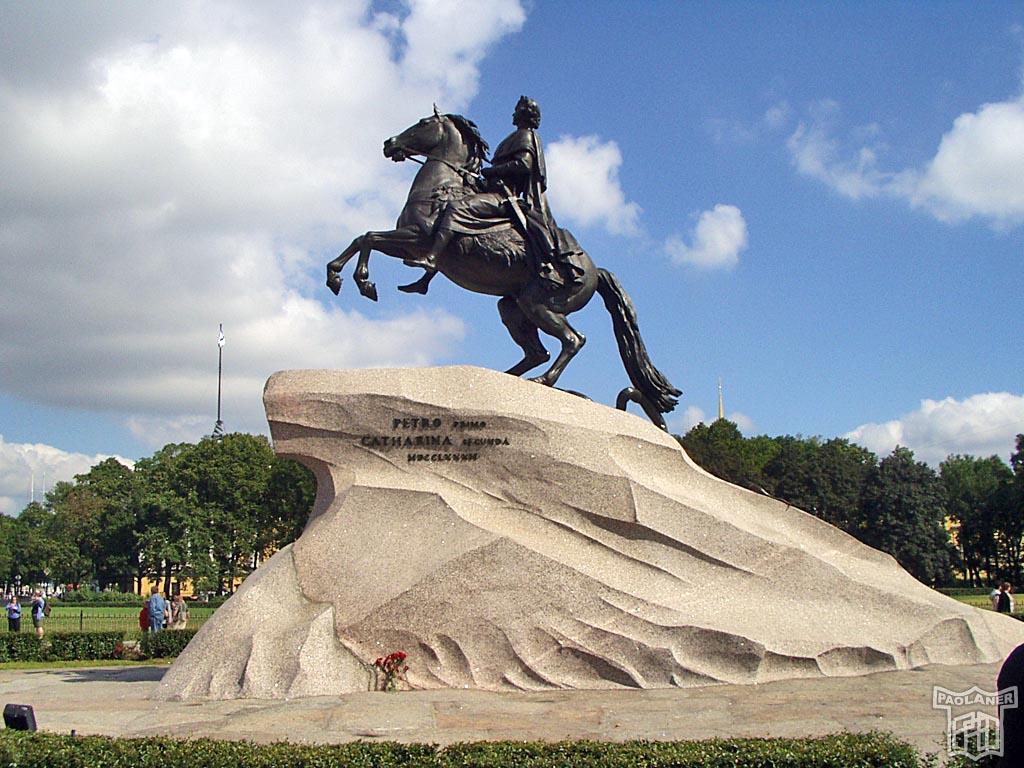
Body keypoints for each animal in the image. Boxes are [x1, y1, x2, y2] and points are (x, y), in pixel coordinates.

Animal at [325, 108, 679, 428]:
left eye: (423, 123)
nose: (389, 143)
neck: (442, 187)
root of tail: (594, 269)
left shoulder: (417, 239)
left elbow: (370, 238)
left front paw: (363, 281)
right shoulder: (405, 241)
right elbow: (363, 238)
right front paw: (336, 276)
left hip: (540, 305)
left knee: (572, 340)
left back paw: (541, 381)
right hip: (513, 306)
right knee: (538, 351)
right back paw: (504, 380)